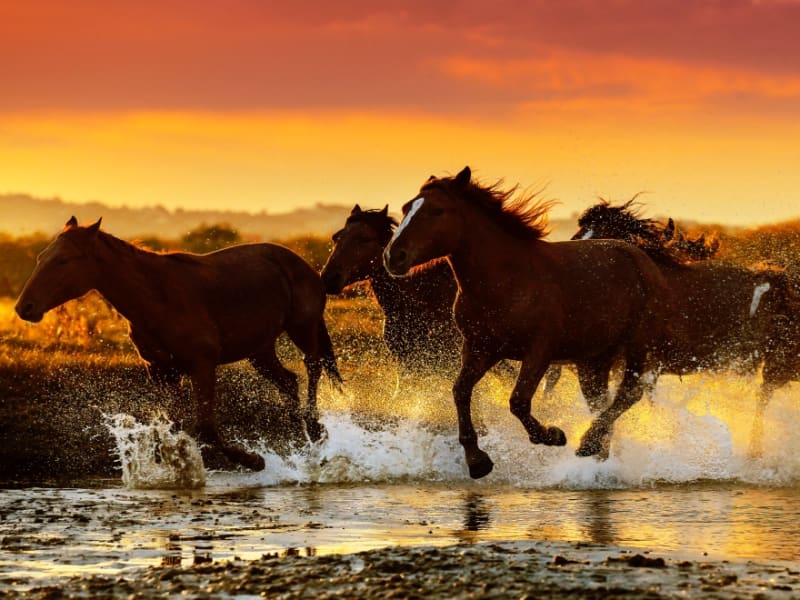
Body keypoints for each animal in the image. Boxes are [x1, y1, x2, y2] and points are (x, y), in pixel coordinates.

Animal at [14, 218, 340, 472]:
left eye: (63, 260)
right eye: (41, 257)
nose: (24, 307)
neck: (157, 297)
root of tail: (306, 266)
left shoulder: (202, 364)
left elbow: (205, 429)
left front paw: (254, 461)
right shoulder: (162, 371)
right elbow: (174, 428)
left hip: (302, 328)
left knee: (312, 366)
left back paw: (315, 430)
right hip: (259, 350)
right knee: (289, 381)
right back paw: (302, 443)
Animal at [384, 165, 672, 478]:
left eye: (437, 210)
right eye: (406, 208)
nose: (393, 256)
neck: (506, 281)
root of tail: (642, 259)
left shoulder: (539, 352)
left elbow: (518, 401)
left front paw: (553, 435)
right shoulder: (480, 349)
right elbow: (460, 391)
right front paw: (478, 461)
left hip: (638, 347)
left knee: (629, 394)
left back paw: (587, 443)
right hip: (593, 360)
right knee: (600, 402)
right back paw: (597, 455)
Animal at [568, 199, 800, 458]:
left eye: (601, 241)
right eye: (578, 235)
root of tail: (779, 283)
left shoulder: (645, 362)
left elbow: (623, 400)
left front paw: (589, 445)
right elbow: (604, 405)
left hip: (779, 364)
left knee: (764, 398)